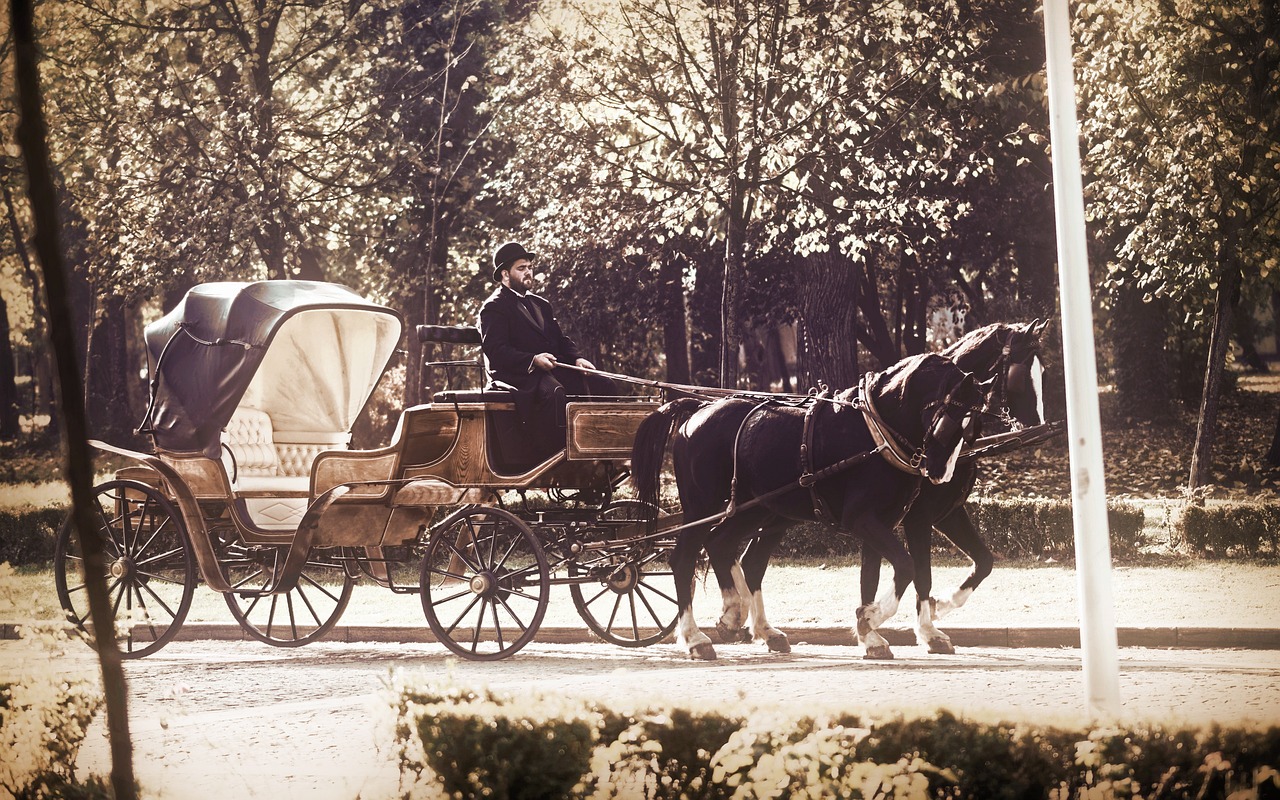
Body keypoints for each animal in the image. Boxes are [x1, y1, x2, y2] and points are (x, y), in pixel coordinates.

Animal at [634, 353, 983, 660]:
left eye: (972, 426)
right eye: (951, 423)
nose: (940, 472)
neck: (875, 431)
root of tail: (699, 409)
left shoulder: (883, 521)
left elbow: (876, 577)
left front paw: (870, 633)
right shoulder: (869, 519)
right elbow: (908, 567)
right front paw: (873, 620)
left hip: (760, 509)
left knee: (727, 548)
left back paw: (742, 617)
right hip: (702, 507)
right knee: (684, 559)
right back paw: (695, 637)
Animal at [860, 314, 1049, 652]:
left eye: (1042, 372)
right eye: (1019, 374)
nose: (1037, 429)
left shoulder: (949, 513)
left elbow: (984, 561)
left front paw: (941, 606)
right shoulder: (918, 518)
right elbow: (922, 573)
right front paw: (927, 630)